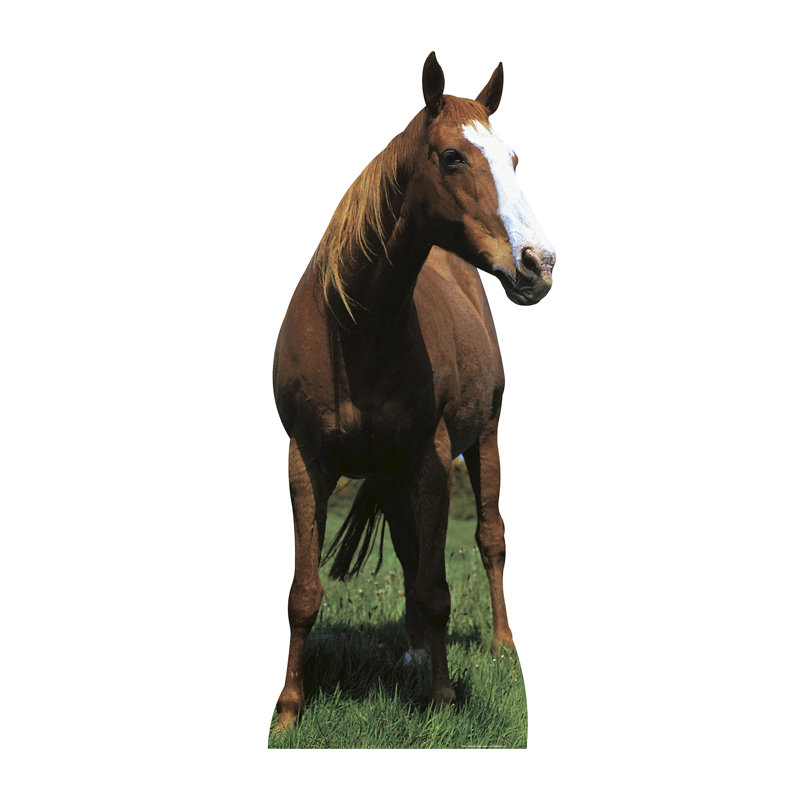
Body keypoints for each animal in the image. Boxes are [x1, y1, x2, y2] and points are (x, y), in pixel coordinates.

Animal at [272, 52, 555, 732]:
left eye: (512, 158)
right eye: (452, 156)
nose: (539, 263)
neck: (357, 327)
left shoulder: (432, 458)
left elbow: (436, 588)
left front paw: (443, 698)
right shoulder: (305, 462)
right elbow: (304, 593)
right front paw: (288, 710)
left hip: (483, 438)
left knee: (490, 538)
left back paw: (500, 646)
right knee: (406, 548)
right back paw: (411, 652)